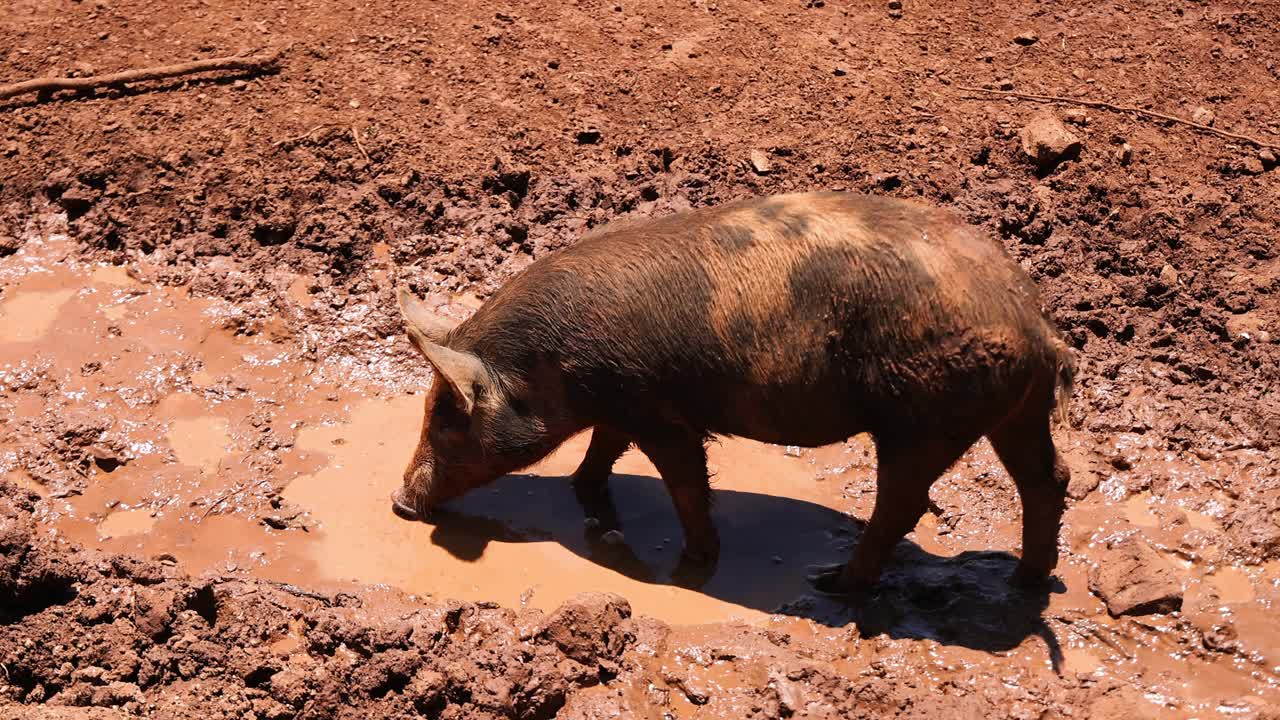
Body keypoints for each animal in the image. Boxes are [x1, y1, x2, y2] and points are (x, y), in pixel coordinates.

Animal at [392, 191, 1074, 592]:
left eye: (448, 417)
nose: (399, 502)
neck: (550, 368)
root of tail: (1034, 322)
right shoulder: (621, 401)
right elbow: (604, 450)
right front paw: (580, 492)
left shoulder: (656, 409)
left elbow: (685, 481)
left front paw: (696, 562)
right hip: (1013, 411)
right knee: (1048, 479)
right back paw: (1027, 582)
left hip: (926, 417)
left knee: (903, 504)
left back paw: (829, 583)